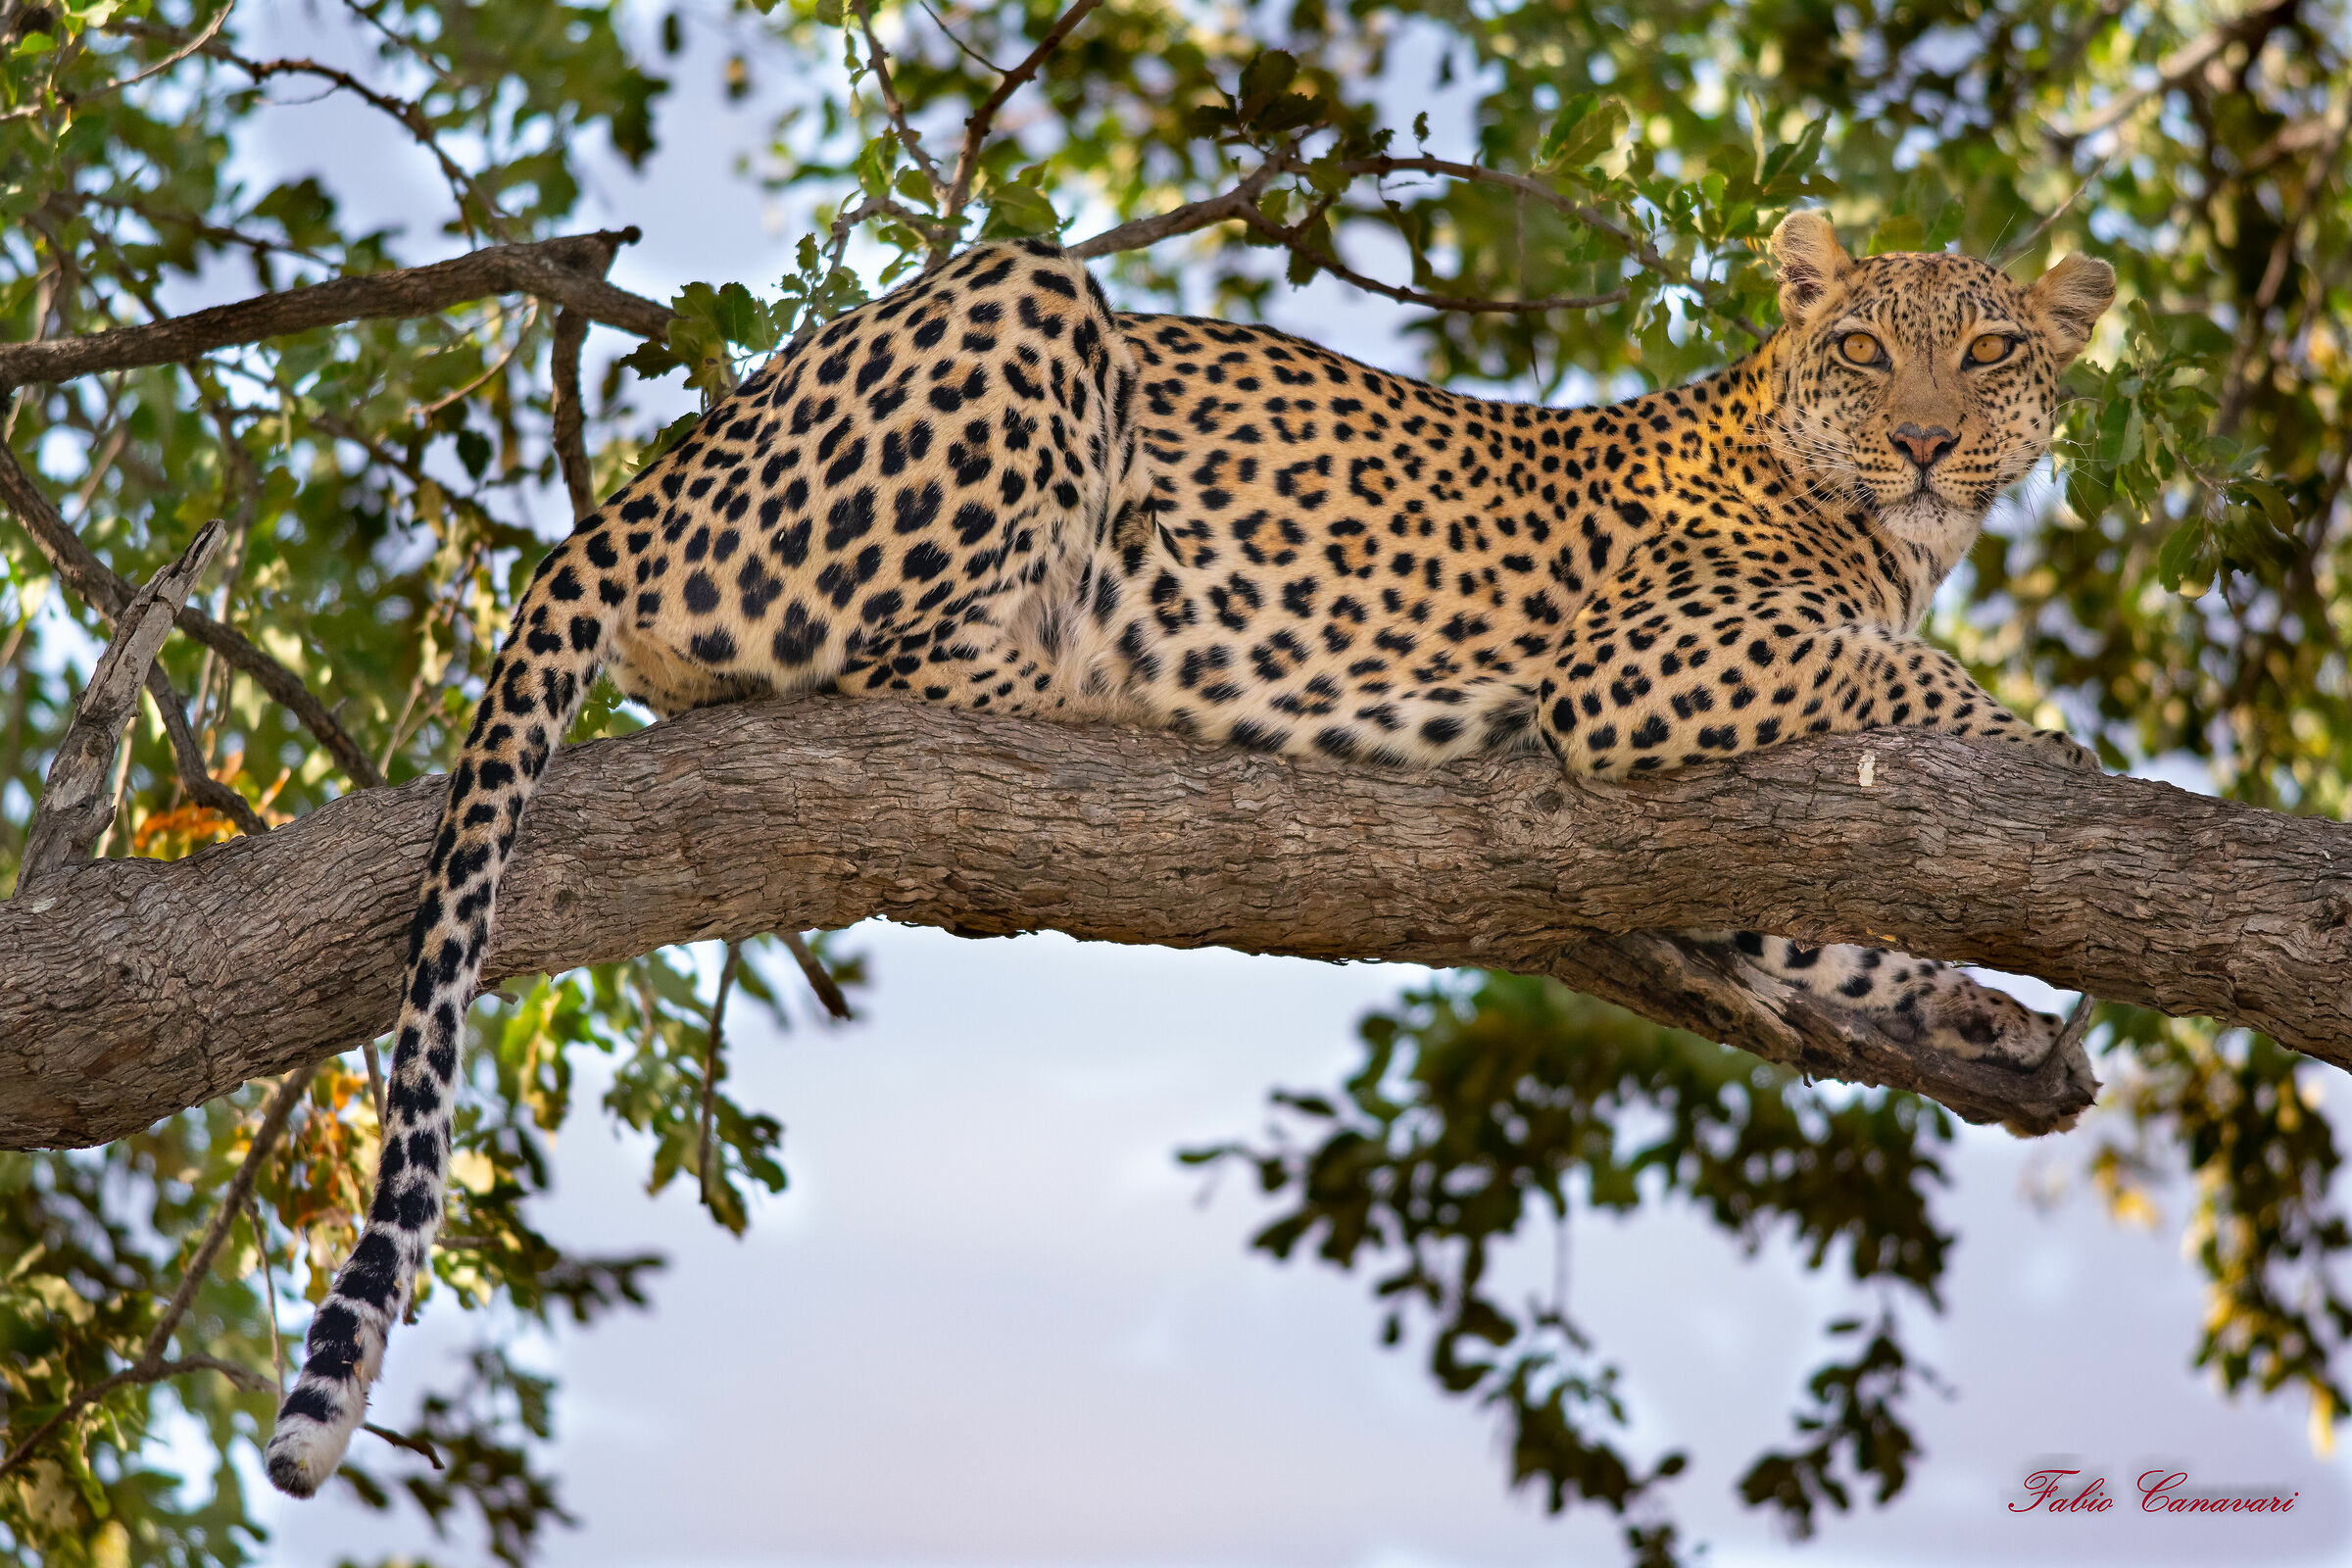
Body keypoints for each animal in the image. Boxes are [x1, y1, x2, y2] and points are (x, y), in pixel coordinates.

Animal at [264, 210, 2116, 1497]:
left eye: (1991, 350)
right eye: (1866, 349)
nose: (1928, 443)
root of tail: (651, 478)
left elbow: (1830, 930)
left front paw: (1991, 1021)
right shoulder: (1643, 670)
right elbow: (1914, 679)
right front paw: (2062, 760)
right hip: (1031, 307)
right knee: (886, 658)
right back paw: (1121, 663)